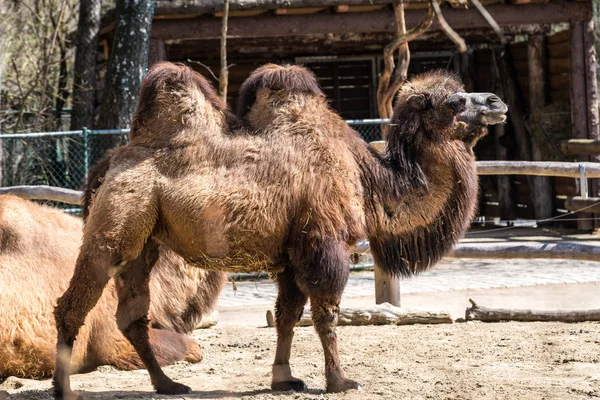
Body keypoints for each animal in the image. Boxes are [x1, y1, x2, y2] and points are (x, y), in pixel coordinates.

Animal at [54, 62, 508, 396]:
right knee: (74, 303)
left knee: (133, 315)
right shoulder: (324, 243)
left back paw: (168, 385)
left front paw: (284, 378)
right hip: (116, 226)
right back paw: (66, 391)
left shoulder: (292, 254)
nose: (497, 100)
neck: (369, 178)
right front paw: (340, 381)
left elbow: (288, 315)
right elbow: (326, 314)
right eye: (454, 101)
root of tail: (108, 162)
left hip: (144, 241)